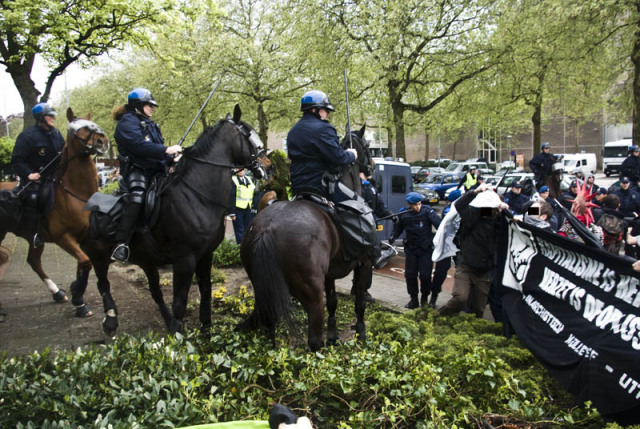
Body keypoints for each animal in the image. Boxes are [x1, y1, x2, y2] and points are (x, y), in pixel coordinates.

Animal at [0, 108, 109, 316]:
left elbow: (83, 265)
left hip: (34, 239)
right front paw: (77, 292)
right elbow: (86, 262)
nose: (103, 141)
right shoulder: (63, 237)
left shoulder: (83, 237)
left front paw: (78, 299)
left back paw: (57, 293)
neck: (76, 193)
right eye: (78, 128)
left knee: (34, 261)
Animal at [80, 105, 269, 336]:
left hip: (146, 261)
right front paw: (179, 336)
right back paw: (110, 320)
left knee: (155, 292)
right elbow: (180, 300)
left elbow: (206, 290)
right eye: (248, 133)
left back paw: (167, 322)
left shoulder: (205, 254)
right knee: (103, 284)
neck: (195, 194)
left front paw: (205, 329)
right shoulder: (184, 259)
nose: (266, 165)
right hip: (98, 256)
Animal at [238, 124, 374, 351]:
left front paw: (334, 335)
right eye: (367, 146)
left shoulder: (329, 273)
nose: (372, 168)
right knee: (314, 341)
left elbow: (333, 302)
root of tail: (266, 229)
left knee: (269, 326)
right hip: (311, 292)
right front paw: (361, 333)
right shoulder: (364, 262)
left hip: (264, 289)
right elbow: (359, 302)